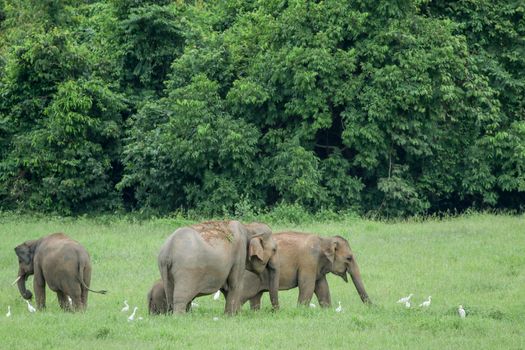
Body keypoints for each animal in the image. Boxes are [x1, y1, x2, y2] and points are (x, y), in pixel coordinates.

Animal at [236, 232, 368, 308]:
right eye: (349, 258)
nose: (370, 308)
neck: (323, 240)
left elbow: (322, 288)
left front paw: (327, 310)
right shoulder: (308, 262)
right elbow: (307, 286)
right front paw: (301, 310)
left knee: (255, 298)